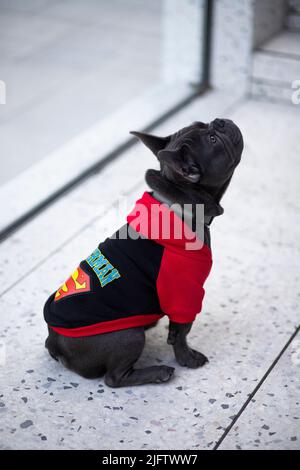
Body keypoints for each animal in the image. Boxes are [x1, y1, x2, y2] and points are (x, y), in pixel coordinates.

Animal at [44, 118, 243, 390]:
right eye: (213, 139)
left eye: (206, 125)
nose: (221, 121)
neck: (177, 204)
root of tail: (54, 343)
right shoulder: (185, 294)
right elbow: (182, 331)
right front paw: (187, 359)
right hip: (129, 335)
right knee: (114, 378)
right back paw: (159, 372)